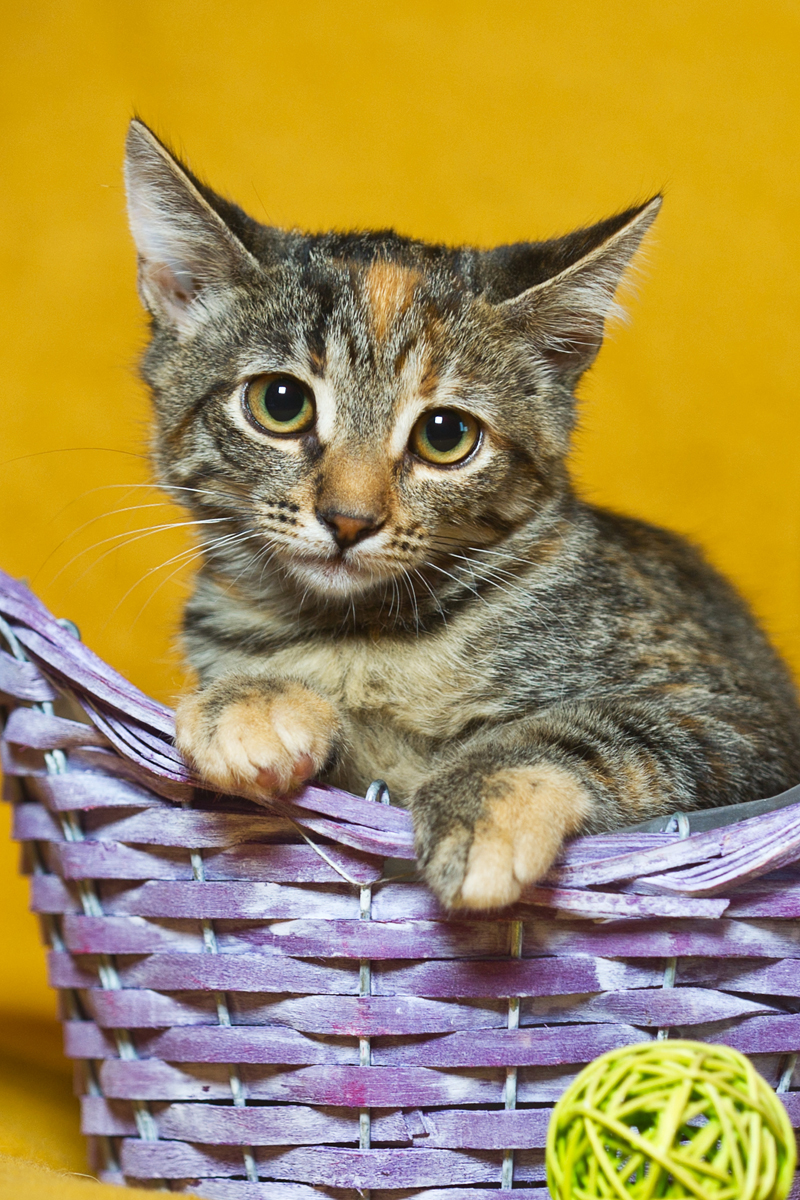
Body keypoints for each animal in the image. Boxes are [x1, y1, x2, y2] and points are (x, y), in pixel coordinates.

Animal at [124, 118, 800, 910]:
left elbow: (596, 725)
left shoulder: (744, 717)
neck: (359, 636)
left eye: (445, 436)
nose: (349, 519)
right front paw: (250, 699)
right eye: (279, 403)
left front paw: (481, 801)